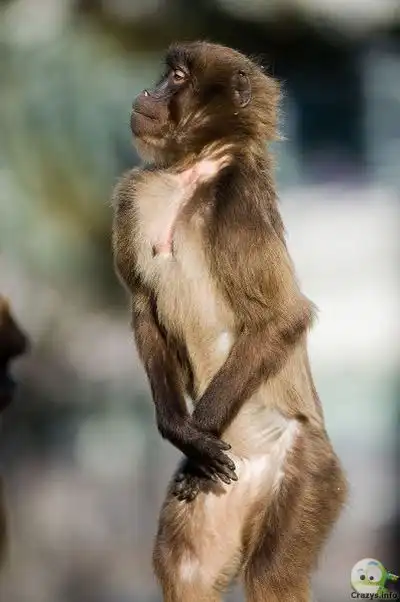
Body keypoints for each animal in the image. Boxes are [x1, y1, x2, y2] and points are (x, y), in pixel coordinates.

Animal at [111, 41, 347, 602]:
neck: (195, 172)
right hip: (219, 500)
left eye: (177, 77)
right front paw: (182, 431)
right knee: (187, 570)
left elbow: (282, 318)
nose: (148, 92)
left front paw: (199, 430)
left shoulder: (237, 202)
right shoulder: (135, 194)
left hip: (307, 471)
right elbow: (144, 309)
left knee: (271, 573)